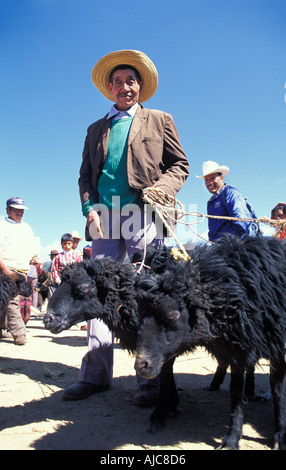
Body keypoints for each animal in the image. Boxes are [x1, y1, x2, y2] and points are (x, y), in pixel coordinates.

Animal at [135, 237, 286, 450]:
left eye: (173, 314)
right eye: (140, 313)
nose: (141, 365)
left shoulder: (273, 345)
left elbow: (278, 391)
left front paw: (280, 436)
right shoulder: (237, 346)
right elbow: (235, 392)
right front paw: (232, 438)